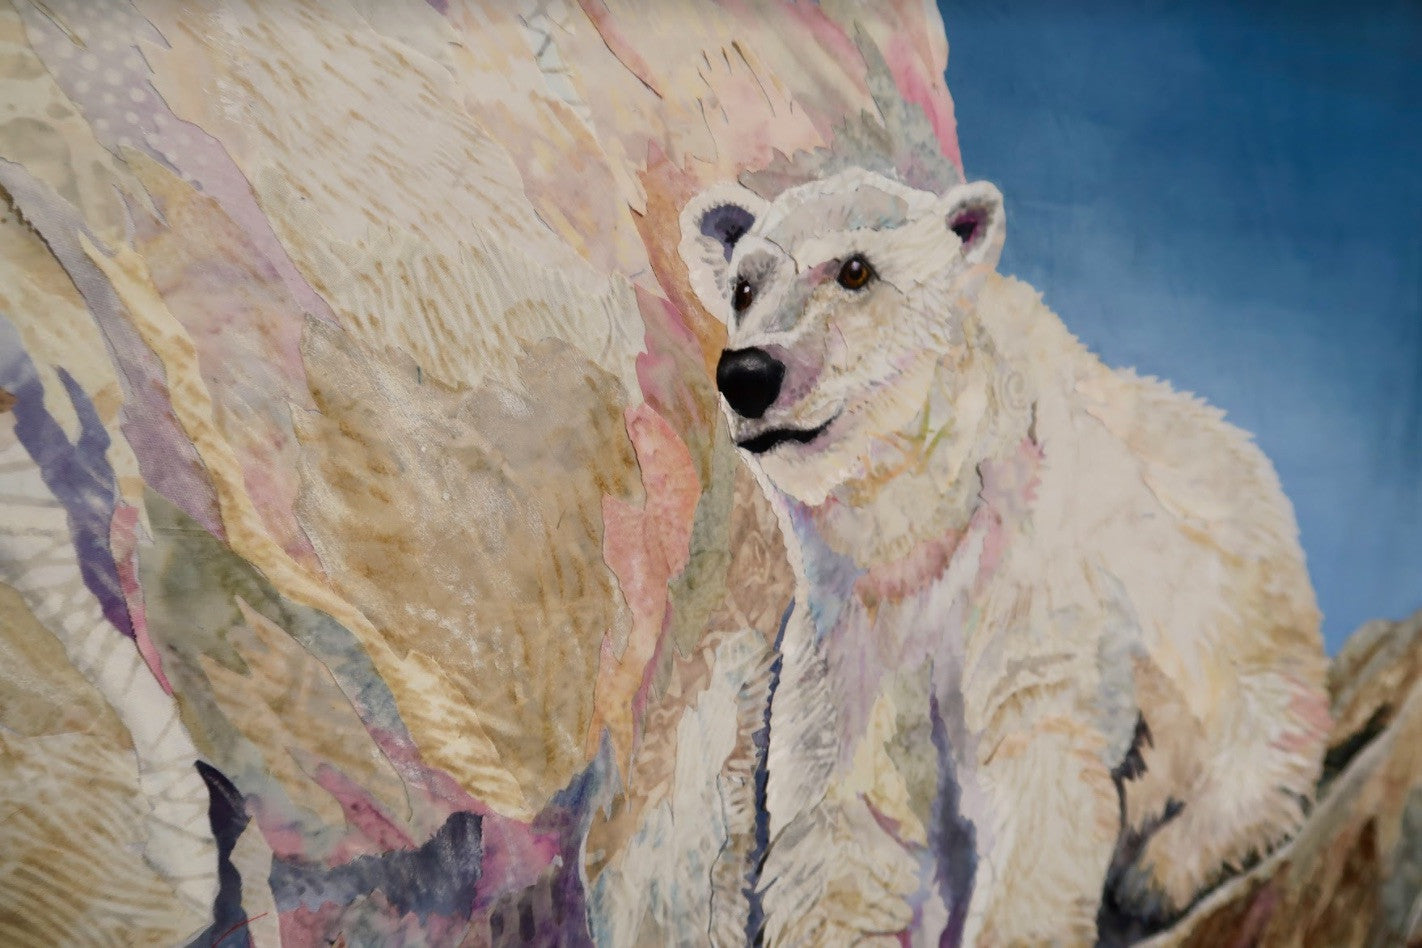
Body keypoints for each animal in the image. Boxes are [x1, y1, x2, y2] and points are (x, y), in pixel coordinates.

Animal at [679, 167, 1331, 946]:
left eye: (855, 269)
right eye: (745, 285)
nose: (748, 372)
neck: (922, 523)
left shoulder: (1027, 583)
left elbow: (1037, 772)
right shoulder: (853, 627)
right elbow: (848, 811)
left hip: (1231, 591)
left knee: (1260, 732)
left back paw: (1164, 866)